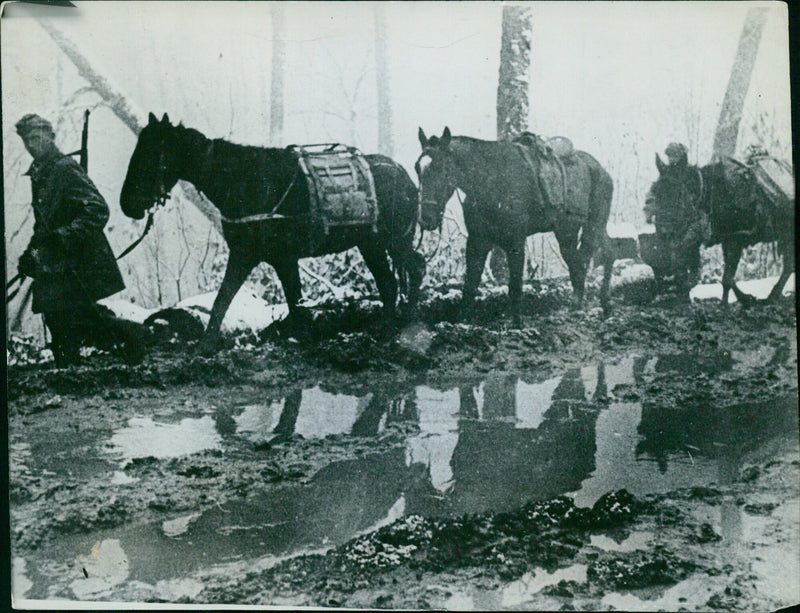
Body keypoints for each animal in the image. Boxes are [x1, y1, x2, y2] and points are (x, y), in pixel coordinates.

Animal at [119, 114, 424, 352]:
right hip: (371, 244)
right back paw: (387, 328)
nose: (126, 204)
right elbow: (290, 303)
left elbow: (225, 298)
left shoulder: (251, 255)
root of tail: (404, 175)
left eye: (151, 155)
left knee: (413, 269)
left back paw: (406, 321)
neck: (247, 181)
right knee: (390, 283)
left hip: (392, 242)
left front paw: (206, 346)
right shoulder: (277, 258)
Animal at [416, 125, 616, 326]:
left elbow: (514, 285)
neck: (492, 180)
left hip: (593, 226)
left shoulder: (515, 241)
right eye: (417, 169)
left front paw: (517, 324)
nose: (426, 218)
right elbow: (470, 284)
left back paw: (601, 303)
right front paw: (461, 322)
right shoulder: (477, 240)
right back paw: (581, 306)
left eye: (440, 167)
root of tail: (602, 170)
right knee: (583, 261)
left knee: (595, 257)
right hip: (567, 231)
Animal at [648, 151, 792, 304]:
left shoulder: (736, 239)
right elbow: (727, 277)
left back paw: (773, 296)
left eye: (679, 193)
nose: (663, 231)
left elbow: (727, 278)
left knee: (789, 266)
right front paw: (744, 299)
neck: (711, 193)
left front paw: (727, 304)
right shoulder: (725, 240)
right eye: (655, 192)